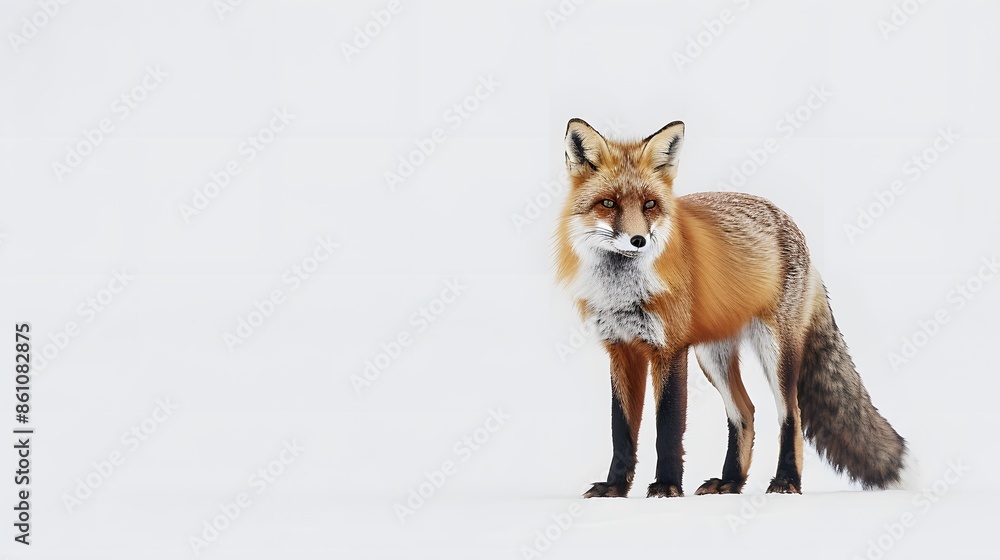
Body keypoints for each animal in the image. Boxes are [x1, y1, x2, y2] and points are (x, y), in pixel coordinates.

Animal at [555, 118, 911, 498]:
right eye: (608, 203)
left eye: (650, 204)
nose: (639, 240)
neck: (624, 292)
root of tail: (790, 224)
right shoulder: (621, 349)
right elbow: (620, 431)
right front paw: (615, 487)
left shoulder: (670, 349)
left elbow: (668, 428)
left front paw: (666, 485)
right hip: (714, 355)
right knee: (746, 411)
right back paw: (731, 481)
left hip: (776, 350)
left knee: (791, 413)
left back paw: (786, 480)